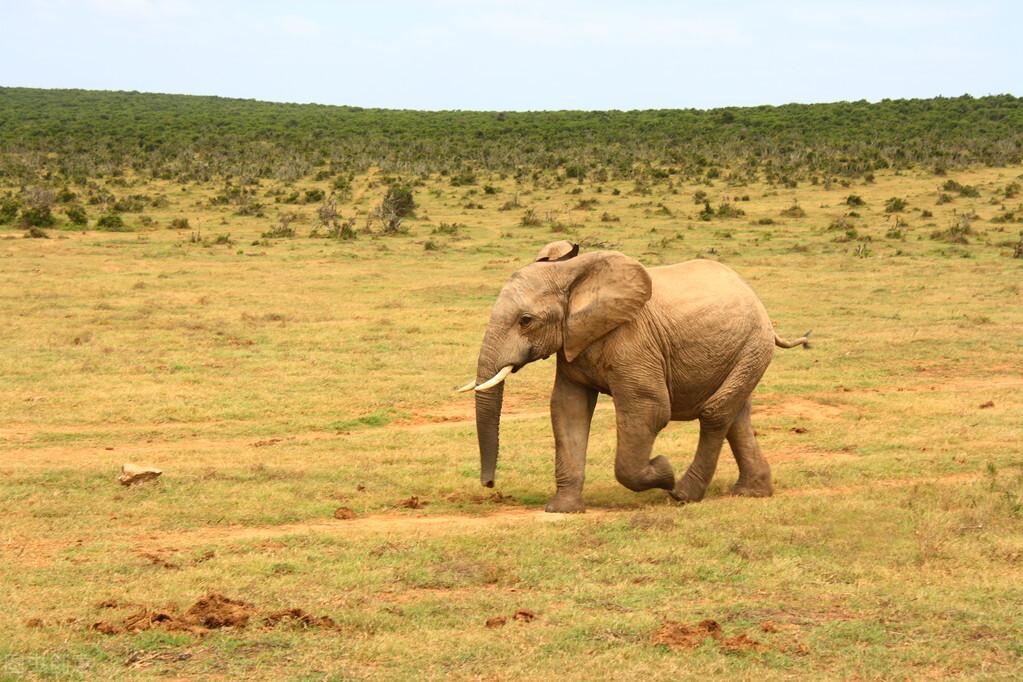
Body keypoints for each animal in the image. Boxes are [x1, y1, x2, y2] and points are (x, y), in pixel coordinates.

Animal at [458, 240, 806, 511]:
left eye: (526, 321)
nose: (489, 484)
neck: (574, 274)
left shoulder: (634, 342)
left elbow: (648, 409)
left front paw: (664, 470)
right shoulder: (572, 343)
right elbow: (568, 409)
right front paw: (562, 510)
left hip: (753, 345)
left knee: (716, 412)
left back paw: (683, 494)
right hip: (742, 350)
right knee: (736, 416)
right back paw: (751, 492)